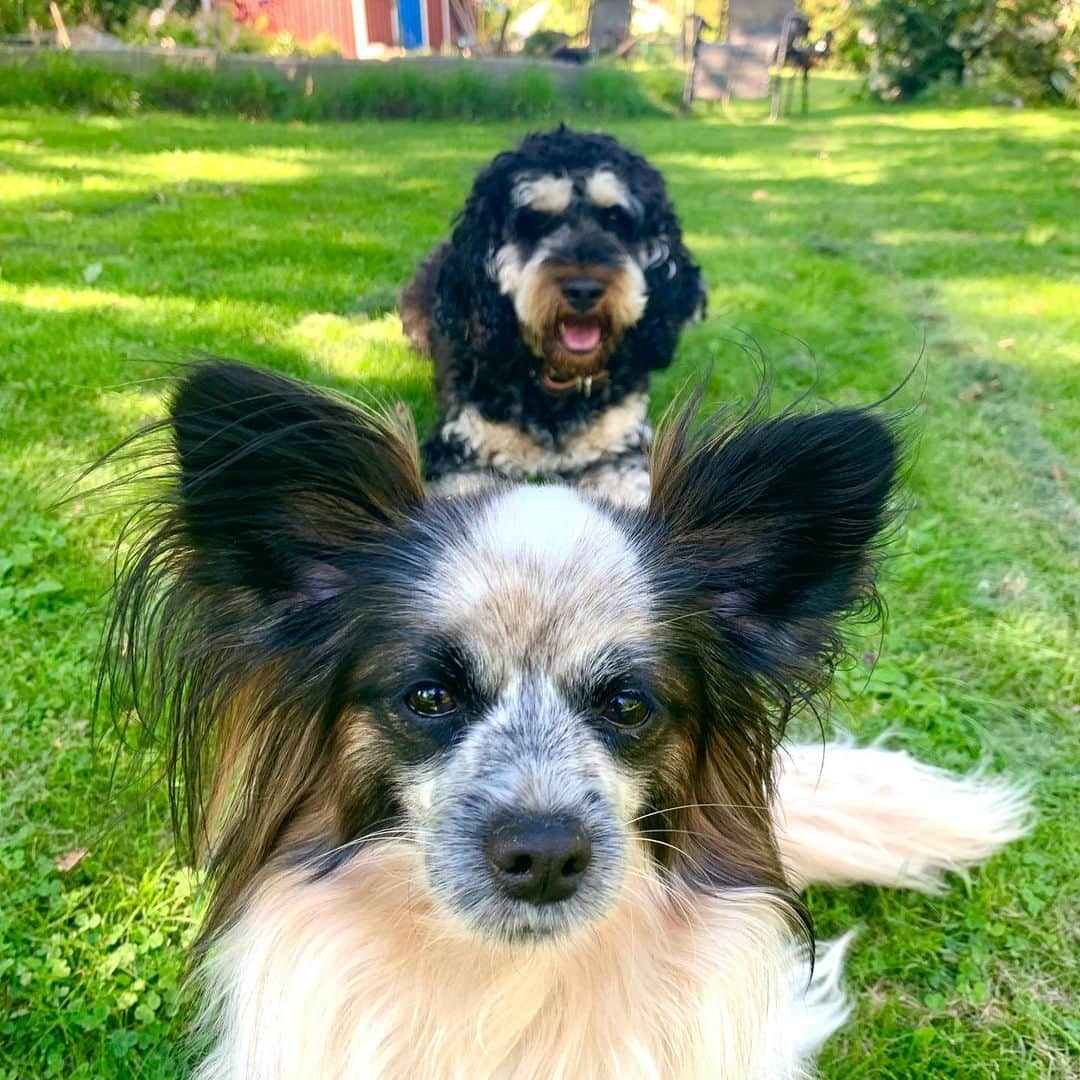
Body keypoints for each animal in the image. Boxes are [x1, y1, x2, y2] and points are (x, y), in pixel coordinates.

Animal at [401, 128, 704, 507]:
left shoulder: (621, 454)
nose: (583, 290)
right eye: (536, 223)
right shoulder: (460, 456)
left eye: (615, 220)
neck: (555, 385)